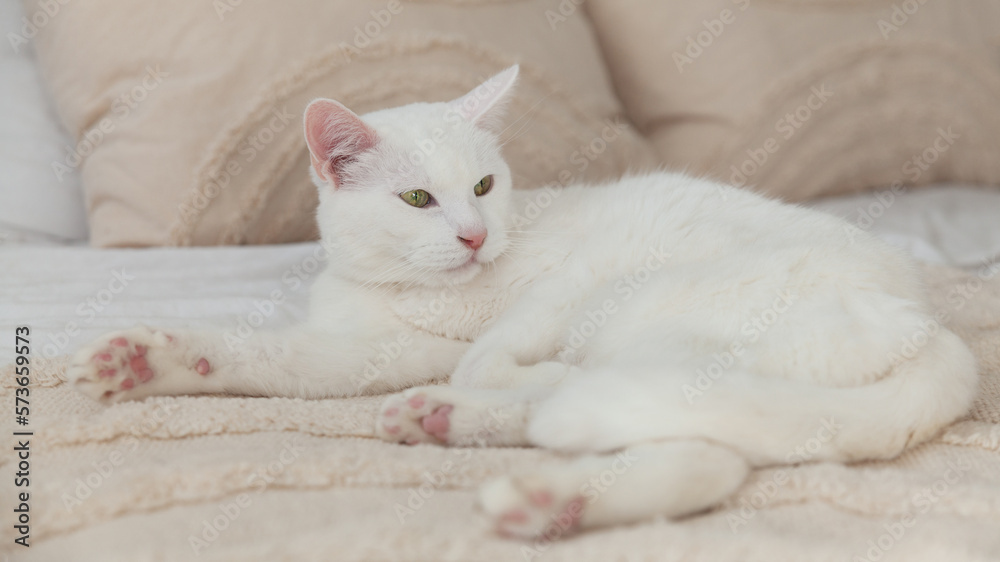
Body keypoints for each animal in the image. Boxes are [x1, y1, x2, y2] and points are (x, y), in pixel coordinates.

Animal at [68, 64, 976, 532]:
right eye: (418, 200)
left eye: (482, 186)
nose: (474, 236)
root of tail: (930, 327)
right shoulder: (350, 347)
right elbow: (265, 355)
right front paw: (146, 362)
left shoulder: (499, 310)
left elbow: (474, 350)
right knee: (698, 448)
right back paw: (494, 458)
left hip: (641, 310)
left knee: (642, 422)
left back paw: (520, 471)